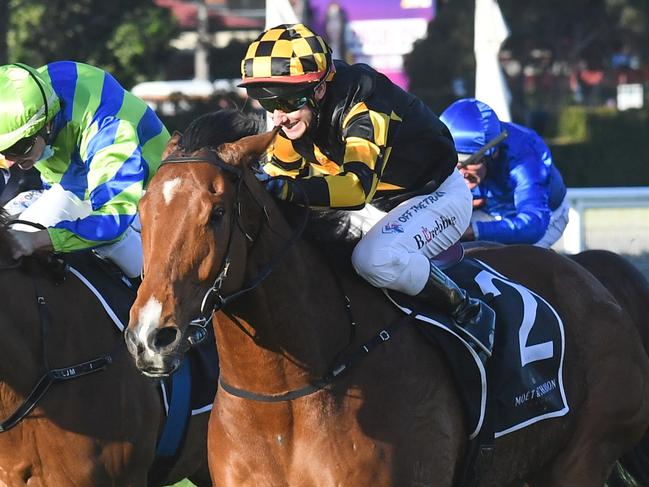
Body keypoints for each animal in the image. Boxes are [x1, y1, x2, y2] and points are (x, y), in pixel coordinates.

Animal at [125, 111, 648, 487]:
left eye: (215, 213)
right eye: (142, 211)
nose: (151, 337)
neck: (287, 397)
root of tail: (591, 274)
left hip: (581, 457)